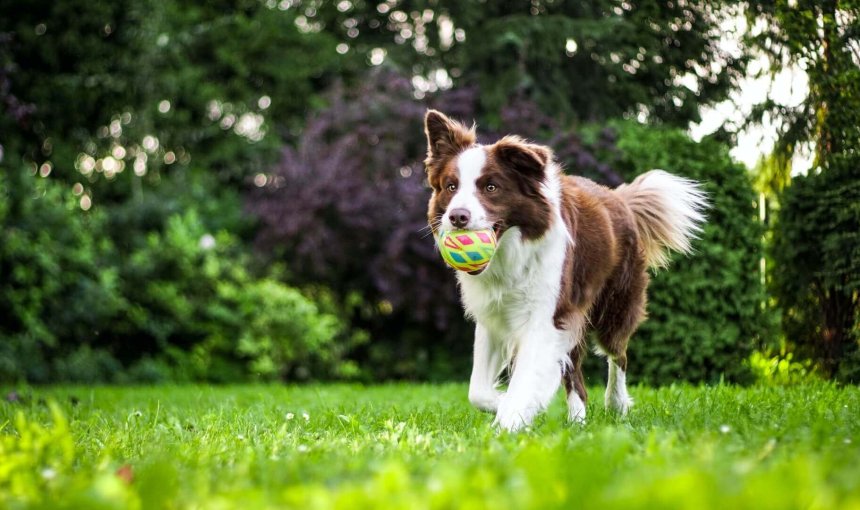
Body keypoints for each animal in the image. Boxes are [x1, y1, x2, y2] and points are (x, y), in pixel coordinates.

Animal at [422, 110, 704, 430]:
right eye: (451, 187)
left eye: (491, 187)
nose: (457, 217)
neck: (510, 253)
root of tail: (619, 198)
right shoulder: (494, 315)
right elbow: (477, 391)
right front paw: (508, 405)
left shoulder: (546, 315)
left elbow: (525, 378)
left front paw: (510, 421)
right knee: (576, 375)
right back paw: (578, 421)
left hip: (614, 305)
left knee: (618, 354)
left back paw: (616, 404)